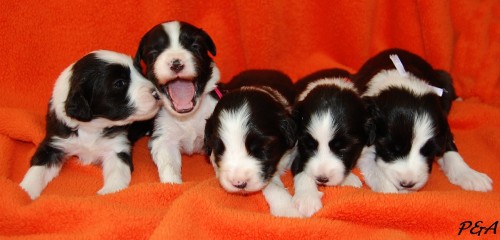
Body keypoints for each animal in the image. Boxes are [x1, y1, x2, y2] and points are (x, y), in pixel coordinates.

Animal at [19, 49, 160, 200]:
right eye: (120, 83)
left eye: (141, 72)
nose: (157, 94)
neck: (92, 127)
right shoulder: (54, 143)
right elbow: (37, 170)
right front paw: (23, 192)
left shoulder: (117, 148)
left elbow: (117, 175)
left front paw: (109, 193)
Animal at [134, 21, 220, 184]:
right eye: (154, 53)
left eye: (195, 46)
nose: (176, 64)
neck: (188, 117)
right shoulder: (164, 137)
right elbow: (168, 164)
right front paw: (172, 184)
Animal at [290, 68, 368, 217]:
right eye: (308, 145)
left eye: (343, 148)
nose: (322, 179)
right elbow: (301, 170)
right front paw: (307, 199)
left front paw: (348, 179)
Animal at [356, 48, 492, 193]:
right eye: (391, 149)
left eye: (428, 152)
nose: (407, 184)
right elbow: (370, 162)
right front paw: (388, 189)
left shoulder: (442, 127)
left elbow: (450, 149)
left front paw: (470, 175)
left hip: (445, 78)